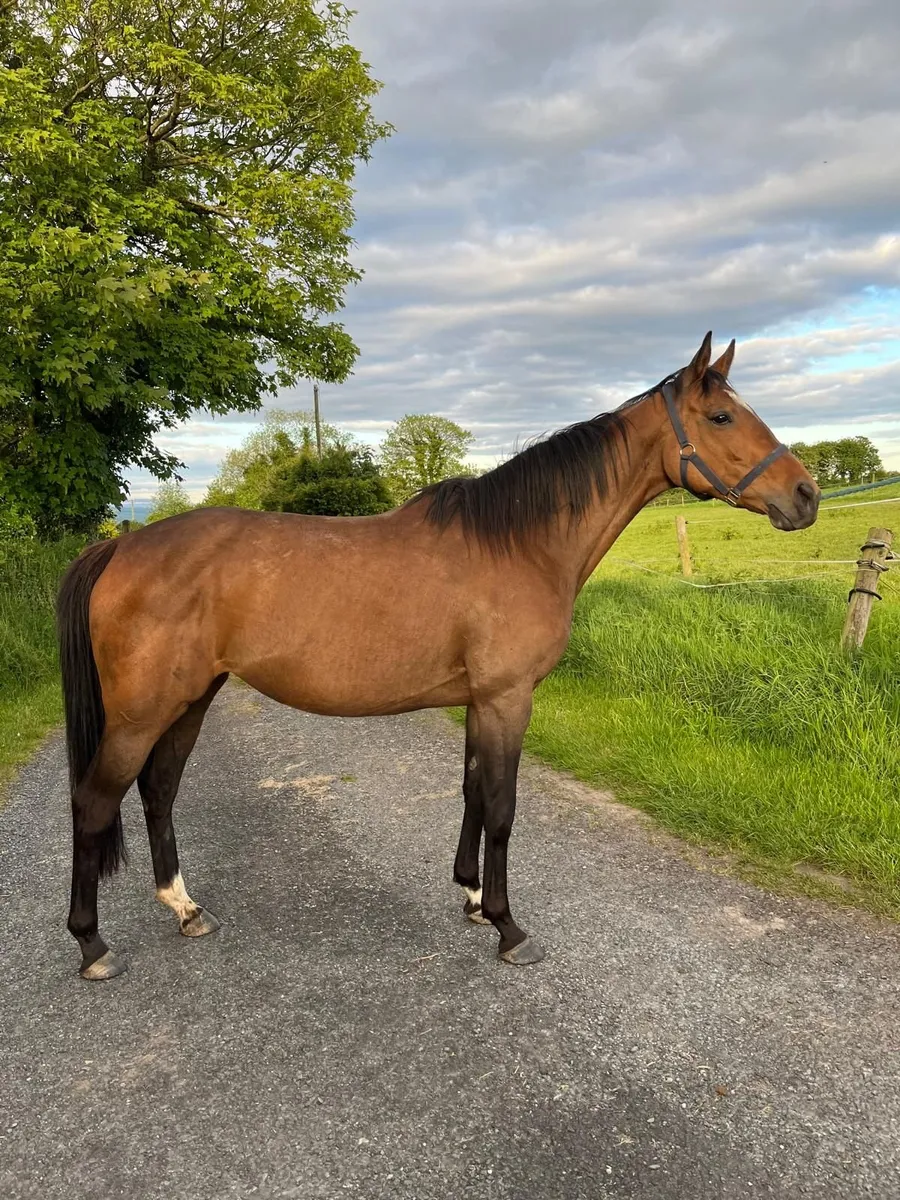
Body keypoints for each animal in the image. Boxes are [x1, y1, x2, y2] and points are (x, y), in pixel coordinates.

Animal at [57, 333, 820, 980]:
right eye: (721, 416)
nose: (805, 495)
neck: (521, 544)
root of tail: (121, 546)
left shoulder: (481, 701)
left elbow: (474, 795)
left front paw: (474, 899)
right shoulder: (509, 697)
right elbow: (503, 807)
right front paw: (510, 928)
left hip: (193, 698)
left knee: (158, 792)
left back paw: (186, 910)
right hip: (142, 712)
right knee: (95, 801)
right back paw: (93, 945)